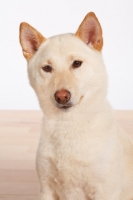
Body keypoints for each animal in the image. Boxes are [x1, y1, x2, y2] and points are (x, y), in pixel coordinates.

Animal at [19, 12, 133, 200]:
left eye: (77, 64)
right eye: (47, 68)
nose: (61, 96)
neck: (68, 126)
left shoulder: (104, 192)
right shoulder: (46, 189)